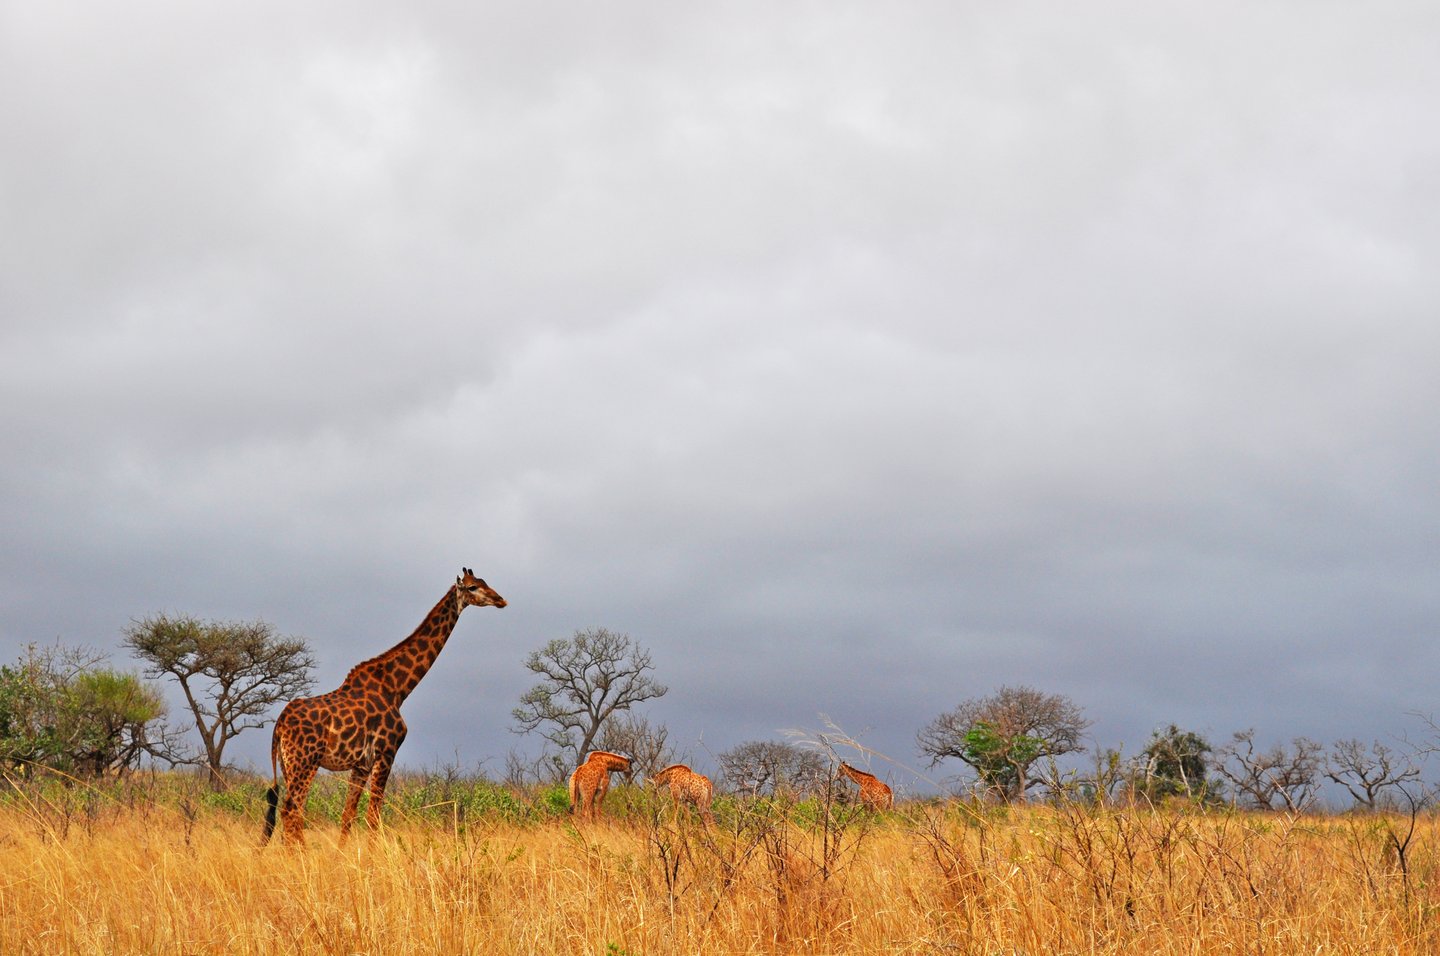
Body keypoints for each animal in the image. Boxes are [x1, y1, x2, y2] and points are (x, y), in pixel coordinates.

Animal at [261, 568, 506, 845]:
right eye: (473, 587)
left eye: (485, 582)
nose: (500, 600)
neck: (397, 688)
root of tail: (279, 725)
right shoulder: (387, 752)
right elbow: (373, 816)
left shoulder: (361, 764)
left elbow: (348, 815)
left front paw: (343, 855)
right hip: (305, 761)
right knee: (291, 810)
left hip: (289, 764)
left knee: (292, 813)